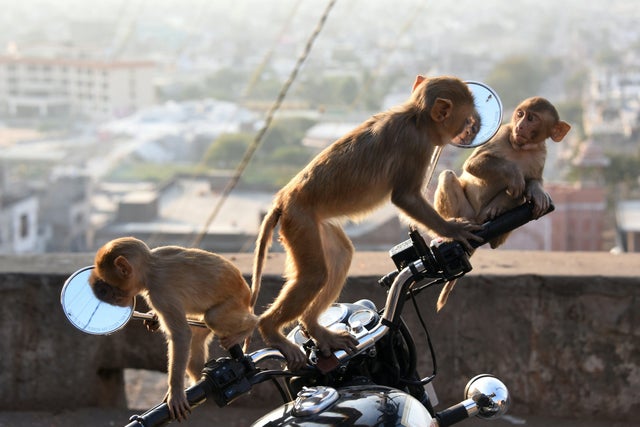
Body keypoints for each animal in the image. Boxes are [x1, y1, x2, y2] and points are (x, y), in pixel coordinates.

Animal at [88, 237, 258, 422]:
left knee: (213, 318)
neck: (149, 269)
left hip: (235, 303)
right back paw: (199, 380)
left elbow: (181, 335)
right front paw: (153, 317)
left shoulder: (160, 294)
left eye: (109, 285)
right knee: (197, 337)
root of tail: (247, 292)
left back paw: (251, 326)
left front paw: (175, 393)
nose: (106, 296)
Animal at [252, 75, 485, 371]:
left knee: (340, 258)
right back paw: (270, 329)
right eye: (467, 119)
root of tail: (282, 199)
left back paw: (315, 328)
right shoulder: (415, 146)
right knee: (315, 274)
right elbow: (405, 197)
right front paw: (452, 230)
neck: (415, 118)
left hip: (315, 224)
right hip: (301, 221)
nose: (472, 129)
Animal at [433, 96, 571, 310]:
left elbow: (532, 181)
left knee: (518, 198)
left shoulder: (541, 154)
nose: (520, 126)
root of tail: (476, 221)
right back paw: (453, 226)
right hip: (466, 211)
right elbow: (473, 164)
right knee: (447, 176)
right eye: (520, 114)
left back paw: (496, 216)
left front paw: (537, 192)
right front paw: (514, 174)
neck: (521, 148)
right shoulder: (504, 134)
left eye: (532, 118)